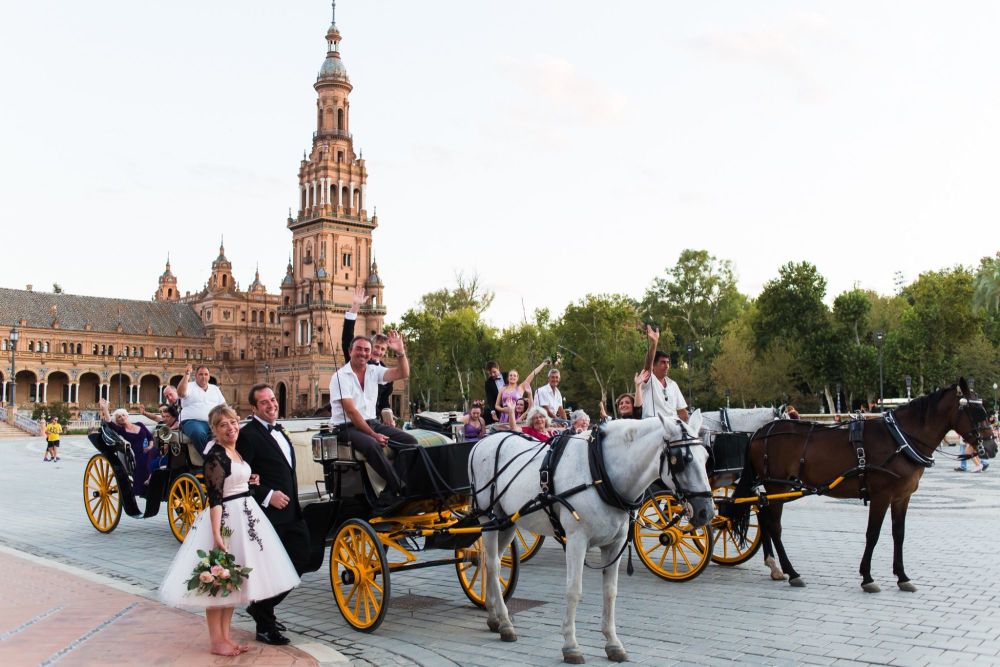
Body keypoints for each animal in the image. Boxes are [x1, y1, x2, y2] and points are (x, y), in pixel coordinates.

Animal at [466, 412, 712, 664]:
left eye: (705, 457)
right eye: (681, 460)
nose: (706, 512)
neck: (601, 473)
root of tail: (482, 442)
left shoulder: (615, 543)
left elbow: (610, 592)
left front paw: (613, 643)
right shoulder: (577, 540)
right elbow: (574, 590)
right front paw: (571, 646)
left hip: (507, 523)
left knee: (489, 563)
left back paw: (493, 616)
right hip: (488, 518)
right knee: (493, 565)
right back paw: (506, 623)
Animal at [732, 378, 996, 592]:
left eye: (985, 409)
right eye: (975, 411)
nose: (992, 447)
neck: (900, 439)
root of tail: (759, 431)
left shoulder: (902, 497)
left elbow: (899, 534)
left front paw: (902, 576)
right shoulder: (881, 496)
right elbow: (873, 534)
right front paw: (867, 577)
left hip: (778, 488)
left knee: (763, 515)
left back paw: (774, 567)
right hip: (777, 486)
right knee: (774, 525)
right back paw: (791, 572)